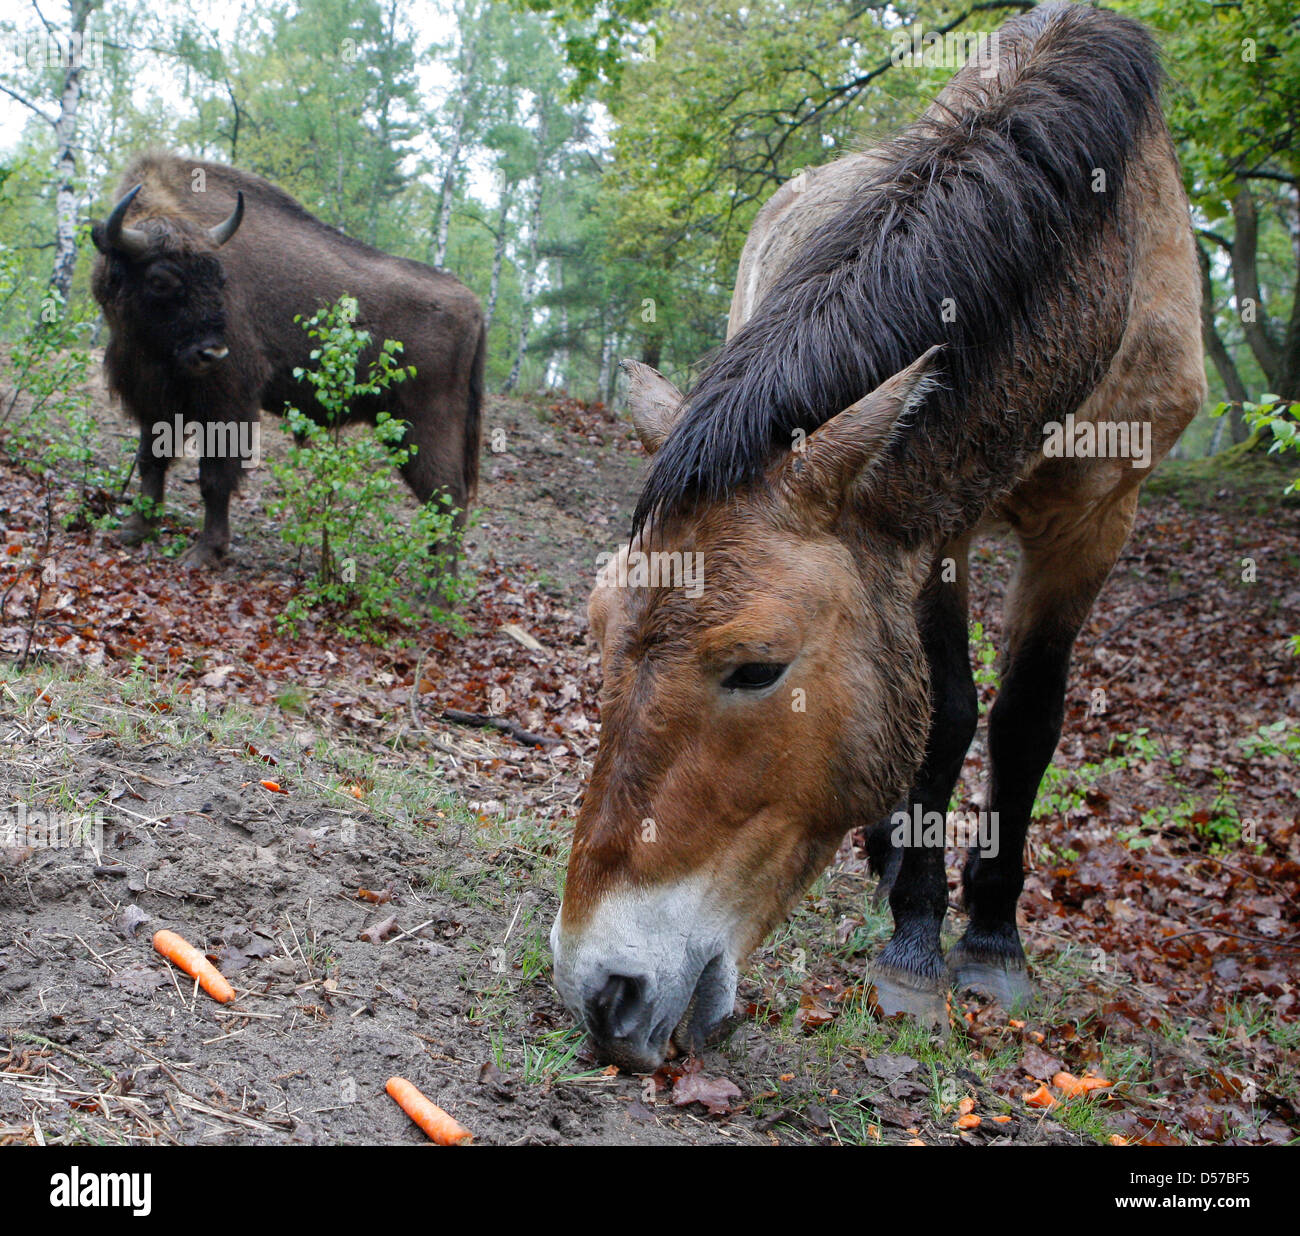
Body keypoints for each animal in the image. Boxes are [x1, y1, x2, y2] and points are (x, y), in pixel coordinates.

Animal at [91, 150, 486, 569]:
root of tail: (473, 306)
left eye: (221, 279)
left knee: (448, 500)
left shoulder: (227, 402)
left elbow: (214, 477)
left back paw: (436, 585)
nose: (212, 352)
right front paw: (135, 530)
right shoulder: (151, 395)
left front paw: (204, 553)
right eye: (161, 280)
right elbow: (151, 459)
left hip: (423, 427)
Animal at [546, 2, 1196, 1070]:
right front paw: (917, 941)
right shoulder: (932, 527)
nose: (601, 991)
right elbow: (948, 715)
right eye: (597, 633)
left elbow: (1024, 722)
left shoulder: (1097, 517)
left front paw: (989, 941)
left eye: (758, 667)